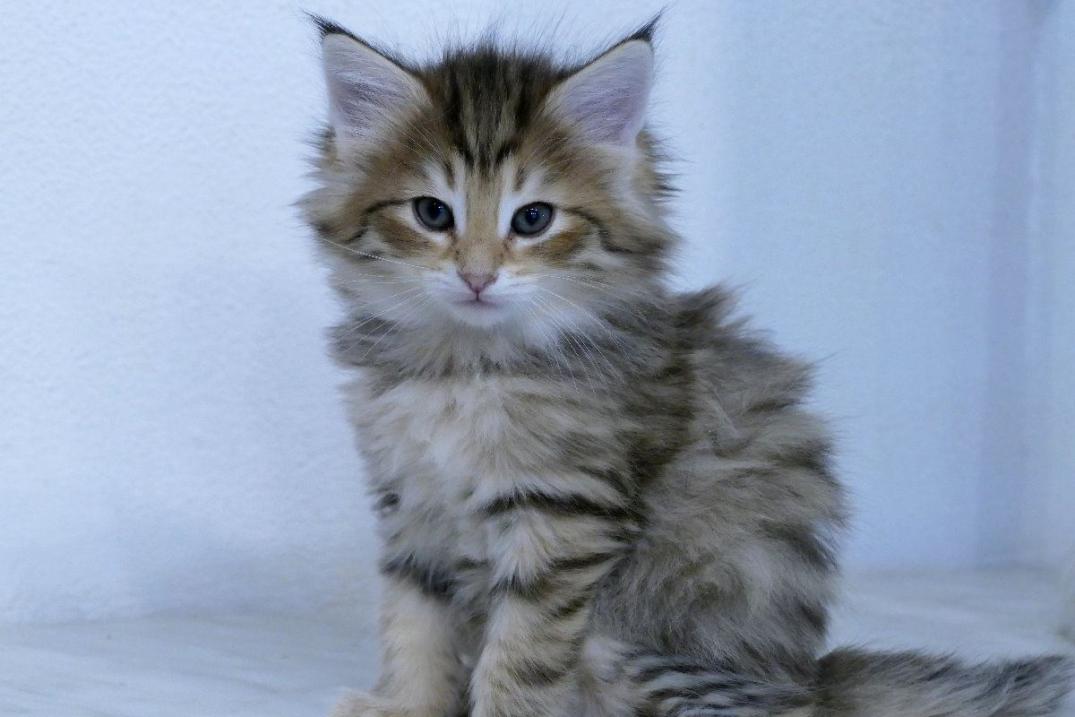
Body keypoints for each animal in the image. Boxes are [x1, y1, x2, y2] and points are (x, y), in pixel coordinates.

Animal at [298, 16, 1074, 717]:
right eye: (433, 214)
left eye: (533, 219)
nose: (478, 277)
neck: (464, 364)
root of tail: (810, 676)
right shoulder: (411, 503)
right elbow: (414, 623)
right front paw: (406, 705)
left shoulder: (566, 515)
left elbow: (518, 656)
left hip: (636, 642)